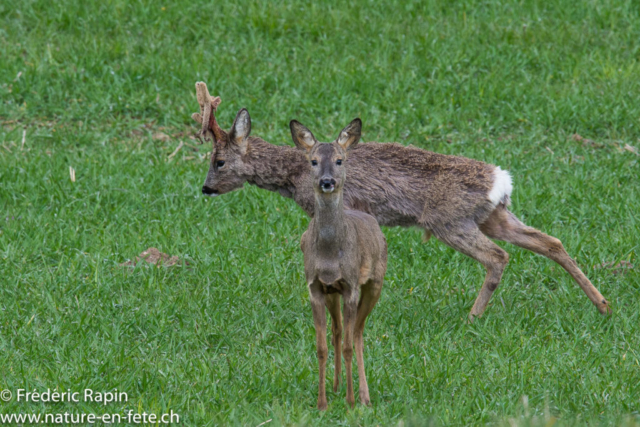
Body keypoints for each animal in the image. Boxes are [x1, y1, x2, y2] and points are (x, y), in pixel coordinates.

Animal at [194, 82, 608, 320]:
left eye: (218, 162)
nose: (206, 188)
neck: (294, 174)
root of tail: (499, 181)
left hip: (449, 221)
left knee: (498, 257)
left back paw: (471, 318)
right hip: (493, 217)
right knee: (549, 241)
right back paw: (602, 305)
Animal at [298, 118, 388, 410]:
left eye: (340, 160)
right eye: (313, 161)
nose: (327, 181)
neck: (329, 256)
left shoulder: (350, 287)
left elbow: (349, 345)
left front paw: (350, 401)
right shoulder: (315, 287)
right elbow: (321, 347)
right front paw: (322, 403)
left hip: (375, 283)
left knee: (358, 333)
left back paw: (364, 396)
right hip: (332, 293)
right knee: (338, 330)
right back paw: (336, 386)